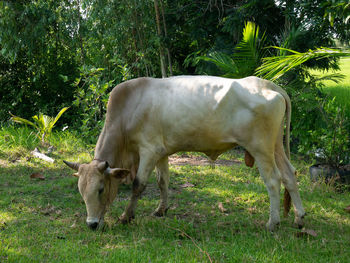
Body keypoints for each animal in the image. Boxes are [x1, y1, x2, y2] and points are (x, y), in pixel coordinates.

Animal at [64, 76, 304, 231]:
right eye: (81, 191)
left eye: (101, 189)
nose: (92, 224)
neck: (128, 111)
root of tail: (267, 84)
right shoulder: (161, 152)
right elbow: (163, 181)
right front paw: (161, 210)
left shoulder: (148, 150)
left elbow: (138, 185)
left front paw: (126, 217)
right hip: (276, 146)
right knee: (289, 175)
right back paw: (299, 219)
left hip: (261, 148)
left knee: (273, 181)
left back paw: (272, 223)